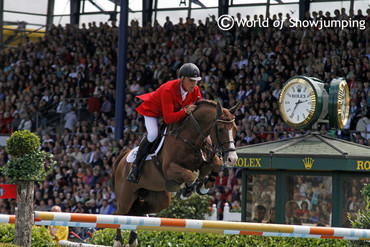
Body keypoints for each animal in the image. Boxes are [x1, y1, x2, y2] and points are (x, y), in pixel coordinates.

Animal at [111, 99, 241, 246]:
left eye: (235, 129)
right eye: (220, 129)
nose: (232, 159)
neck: (190, 139)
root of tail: (123, 156)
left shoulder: (205, 159)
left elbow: (216, 165)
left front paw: (203, 186)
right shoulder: (169, 169)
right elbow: (189, 175)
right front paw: (186, 192)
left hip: (159, 199)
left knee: (136, 211)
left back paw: (133, 238)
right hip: (126, 197)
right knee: (119, 213)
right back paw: (118, 241)